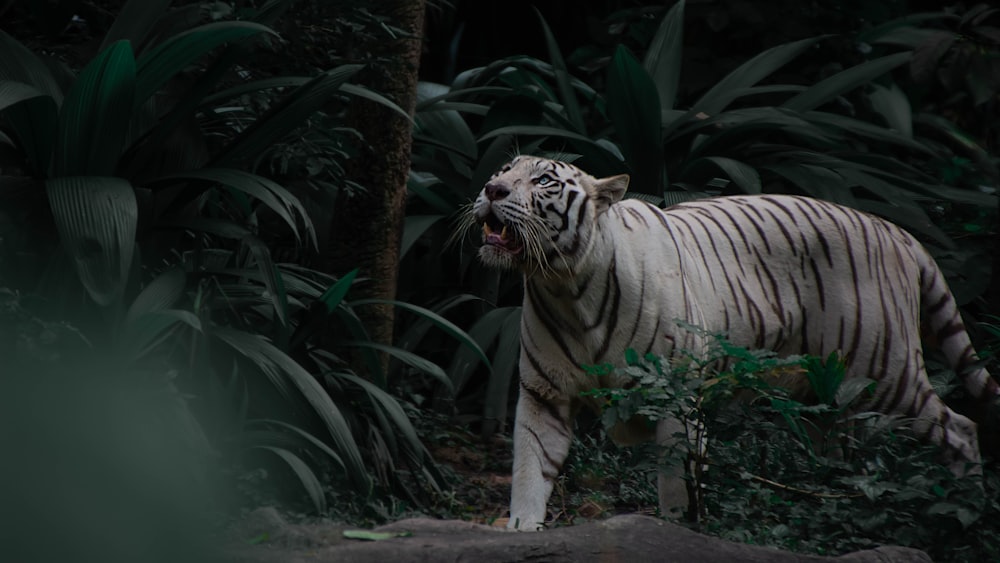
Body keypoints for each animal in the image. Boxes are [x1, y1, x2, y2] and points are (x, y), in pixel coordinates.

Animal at [464, 155, 996, 532]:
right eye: (504, 171)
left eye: (543, 181)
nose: (491, 189)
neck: (565, 286)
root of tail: (899, 232)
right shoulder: (543, 395)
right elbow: (530, 469)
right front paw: (520, 530)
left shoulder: (675, 399)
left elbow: (677, 485)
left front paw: (677, 531)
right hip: (829, 397)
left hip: (884, 372)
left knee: (961, 426)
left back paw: (966, 508)